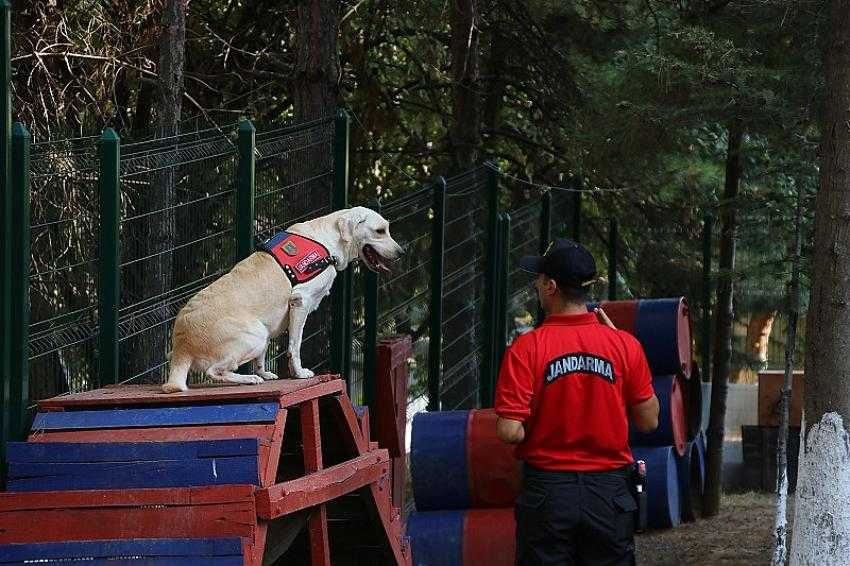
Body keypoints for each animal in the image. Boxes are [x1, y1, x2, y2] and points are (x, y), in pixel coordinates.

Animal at [161, 209, 400, 394]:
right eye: (380, 231)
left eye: (387, 229)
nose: (401, 252)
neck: (330, 240)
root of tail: (182, 345)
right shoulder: (300, 301)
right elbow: (295, 345)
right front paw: (299, 373)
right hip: (255, 334)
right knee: (214, 371)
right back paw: (249, 379)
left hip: (262, 332)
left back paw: (261, 375)